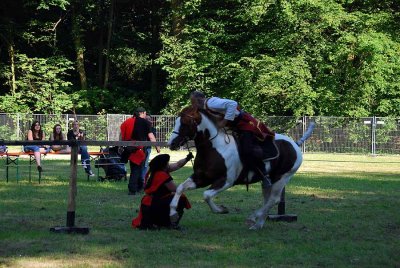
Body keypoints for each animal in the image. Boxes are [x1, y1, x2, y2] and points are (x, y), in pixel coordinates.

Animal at [167, 105, 314, 229]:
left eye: (185, 123)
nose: (171, 143)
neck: (214, 148)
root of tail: (294, 144)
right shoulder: (201, 178)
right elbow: (180, 188)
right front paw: (173, 213)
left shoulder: (226, 181)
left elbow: (206, 195)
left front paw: (220, 210)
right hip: (268, 180)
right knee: (268, 199)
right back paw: (258, 224)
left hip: (282, 178)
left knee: (274, 199)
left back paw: (253, 217)